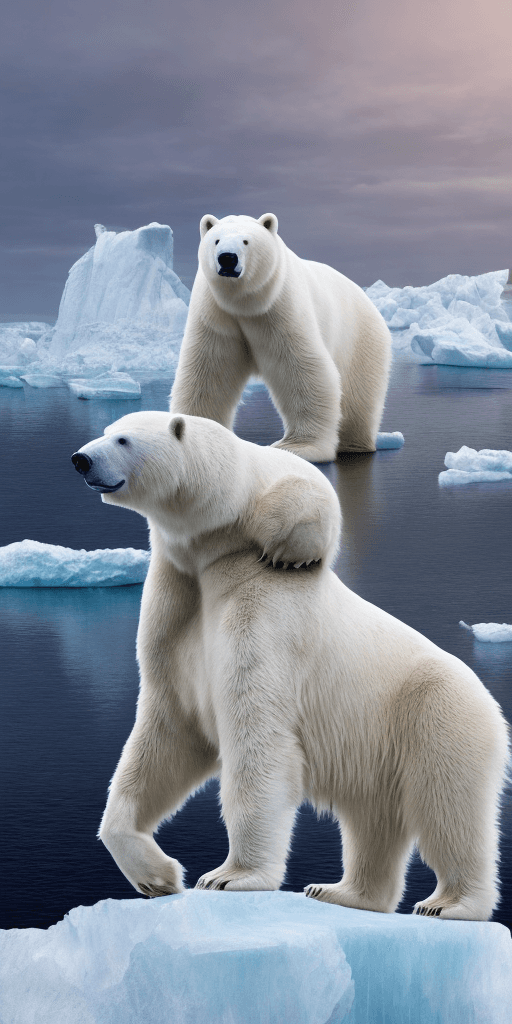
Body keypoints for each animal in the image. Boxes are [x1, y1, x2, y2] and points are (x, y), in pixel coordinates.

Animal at [72, 411, 509, 920]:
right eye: (107, 430)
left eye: (123, 439)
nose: (81, 459)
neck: (212, 553)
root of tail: (492, 705)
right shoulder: (175, 603)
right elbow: (165, 735)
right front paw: (157, 875)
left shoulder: (263, 609)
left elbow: (256, 734)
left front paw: (229, 876)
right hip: (378, 748)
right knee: (373, 820)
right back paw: (342, 892)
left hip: (435, 716)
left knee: (448, 806)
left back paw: (449, 904)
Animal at [169, 213, 392, 463]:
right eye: (216, 241)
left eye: (246, 241)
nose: (227, 258)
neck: (244, 304)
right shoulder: (216, 316)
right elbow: (208, 373)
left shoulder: (281, 308)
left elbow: (303, 370)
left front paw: (297, 447)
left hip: (360, 337)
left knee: (358, 394)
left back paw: (354, 445)